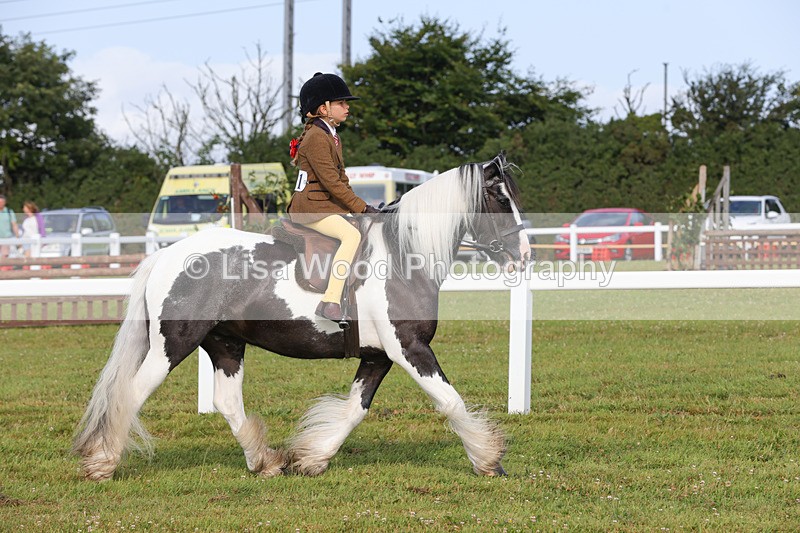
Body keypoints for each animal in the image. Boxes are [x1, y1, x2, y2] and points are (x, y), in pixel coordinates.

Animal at [73, 153, 531, 481]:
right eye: (499, 199)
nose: (524, 256)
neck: (404, 258)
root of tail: (166, 255)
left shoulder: (378, 356)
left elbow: (355, 410)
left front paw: (312, 458)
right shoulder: (410, 349)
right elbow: (449, 400)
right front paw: (489, 459)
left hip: (225, 344)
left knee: (227, 402)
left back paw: (264, 462)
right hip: (173, 344)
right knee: (133, 392)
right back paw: (103, 464)